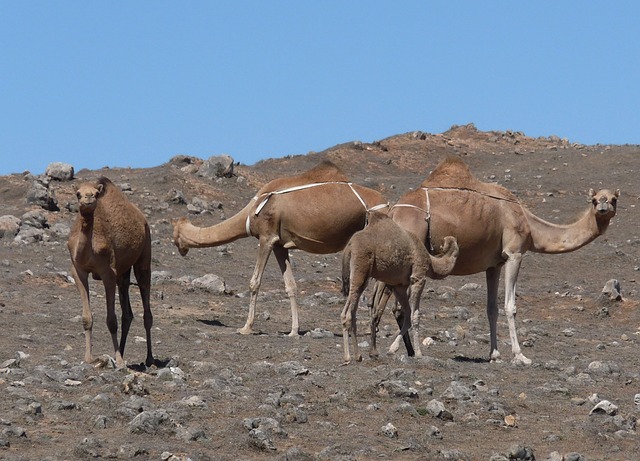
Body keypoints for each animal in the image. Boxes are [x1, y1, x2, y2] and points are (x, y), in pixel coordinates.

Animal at [67, 176, 154, 366]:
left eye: (96, 193)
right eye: (78, 194)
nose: (89, 198)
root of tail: (142, 218)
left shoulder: (108, 273)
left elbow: (111, 320)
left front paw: (119, 362)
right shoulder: (78, 270)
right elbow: (87, 318)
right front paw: (88, 358)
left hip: (144, 254)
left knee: (146, 309)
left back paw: (149, 358)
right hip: (123, 272)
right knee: (127, 313)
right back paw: (121, 351)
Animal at [172, 160, 388, 336]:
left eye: (175, 237)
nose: (180, 250)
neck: (251, 212)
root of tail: (386, 203)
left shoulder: (267, 237)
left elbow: (254, 282)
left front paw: (246, 327)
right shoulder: (280, 245)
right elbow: (290, 285)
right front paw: (293, 330)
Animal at [340, 212, 460, 362]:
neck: (430, 262)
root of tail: (349, 246)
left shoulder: (399, 286)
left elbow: (406, 314)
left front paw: (393, 349)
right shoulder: (418, 277)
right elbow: (415, 315)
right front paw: (419, 353)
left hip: (361, 277)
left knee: (349, 312)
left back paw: (354, 355)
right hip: (360, 270)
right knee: (349, 313)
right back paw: (352, 356)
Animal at [372, 156, 616, 364]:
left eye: (613, 200)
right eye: (594, 200)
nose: (603, 208)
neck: (529, 224)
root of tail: (394, 212)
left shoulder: (494, 264)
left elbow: (492, 308)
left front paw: (495, 354)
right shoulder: (514, 253)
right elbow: (510, 306)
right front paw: (520, 355)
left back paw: (399, 349)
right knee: (392, 305)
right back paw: (399, 349)